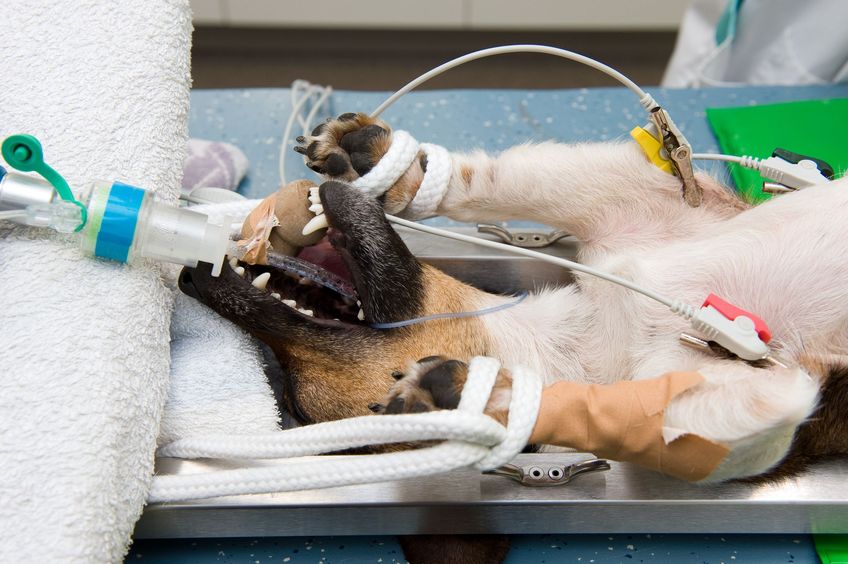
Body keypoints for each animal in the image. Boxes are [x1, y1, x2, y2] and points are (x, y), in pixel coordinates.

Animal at [177, 111, 848, 556]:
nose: (188, 274)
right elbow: (635, 413)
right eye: (295, 400)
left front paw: (380, 159)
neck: (579, 336)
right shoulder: (759, 405)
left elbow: (501, 183)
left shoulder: (648, 193)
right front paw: (485, 399)